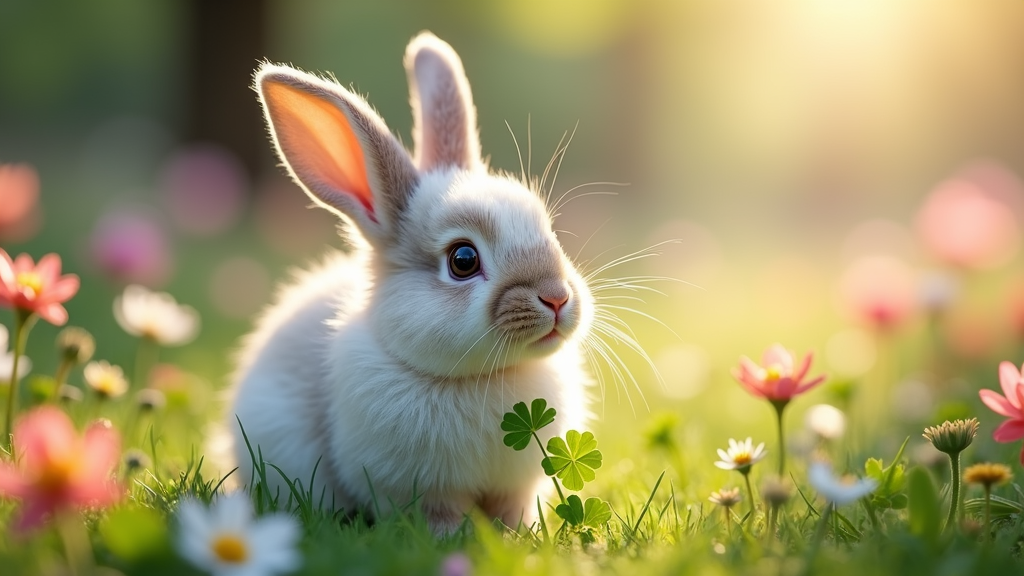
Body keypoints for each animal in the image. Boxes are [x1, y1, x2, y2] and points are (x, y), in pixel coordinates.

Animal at [226, 31, 593, 532]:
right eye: (463, 260)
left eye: (550, 231)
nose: (556, 298)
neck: (482, 378)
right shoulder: (412, 488)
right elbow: (438, 515)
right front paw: (453, 538)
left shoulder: (514, 487)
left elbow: (511, 509)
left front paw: (517, 534)